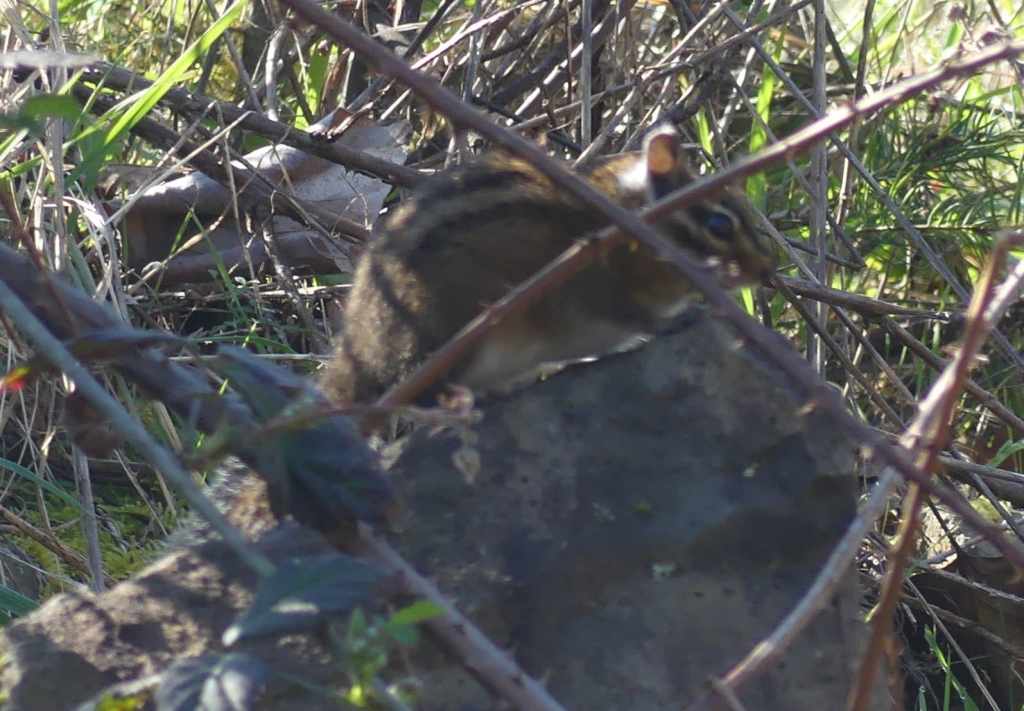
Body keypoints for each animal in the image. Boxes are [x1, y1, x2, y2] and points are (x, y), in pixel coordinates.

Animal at [320, 125, 776, 405]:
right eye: (719, 224)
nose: (766, 271)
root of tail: (356, 353)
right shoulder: (598, 289)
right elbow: (637, 317)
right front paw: (679, 318)